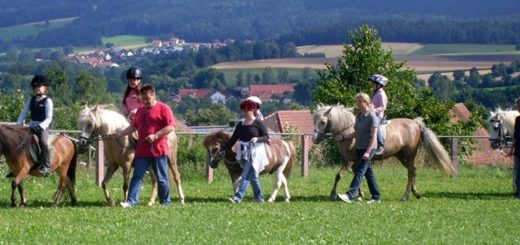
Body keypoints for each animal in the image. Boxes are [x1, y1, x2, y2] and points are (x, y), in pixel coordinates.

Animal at [312, 104, 456, 201]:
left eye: (323, 122)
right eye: (314, 121)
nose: (314, 139)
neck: (350, 133)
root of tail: (415, 123)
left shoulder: (350, 159)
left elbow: (339, 175)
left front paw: (333, 194)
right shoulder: (356, 160)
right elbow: (358, 175)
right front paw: (360, 195)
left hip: (409, 155)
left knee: (411, 172)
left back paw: (405, 196)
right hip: (401, 156)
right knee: (413, 170)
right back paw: (416, 193)